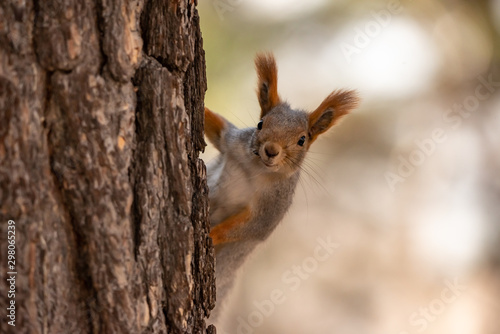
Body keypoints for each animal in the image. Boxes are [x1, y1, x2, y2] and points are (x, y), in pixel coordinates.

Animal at [203, 52, 360, 318]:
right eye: (260, 123)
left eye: (302, 140)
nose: (271, 150)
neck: (256, 169)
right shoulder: (232, 142)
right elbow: (216, 128)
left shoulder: (273, 205)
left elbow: (254, 225)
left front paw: (211, 234)